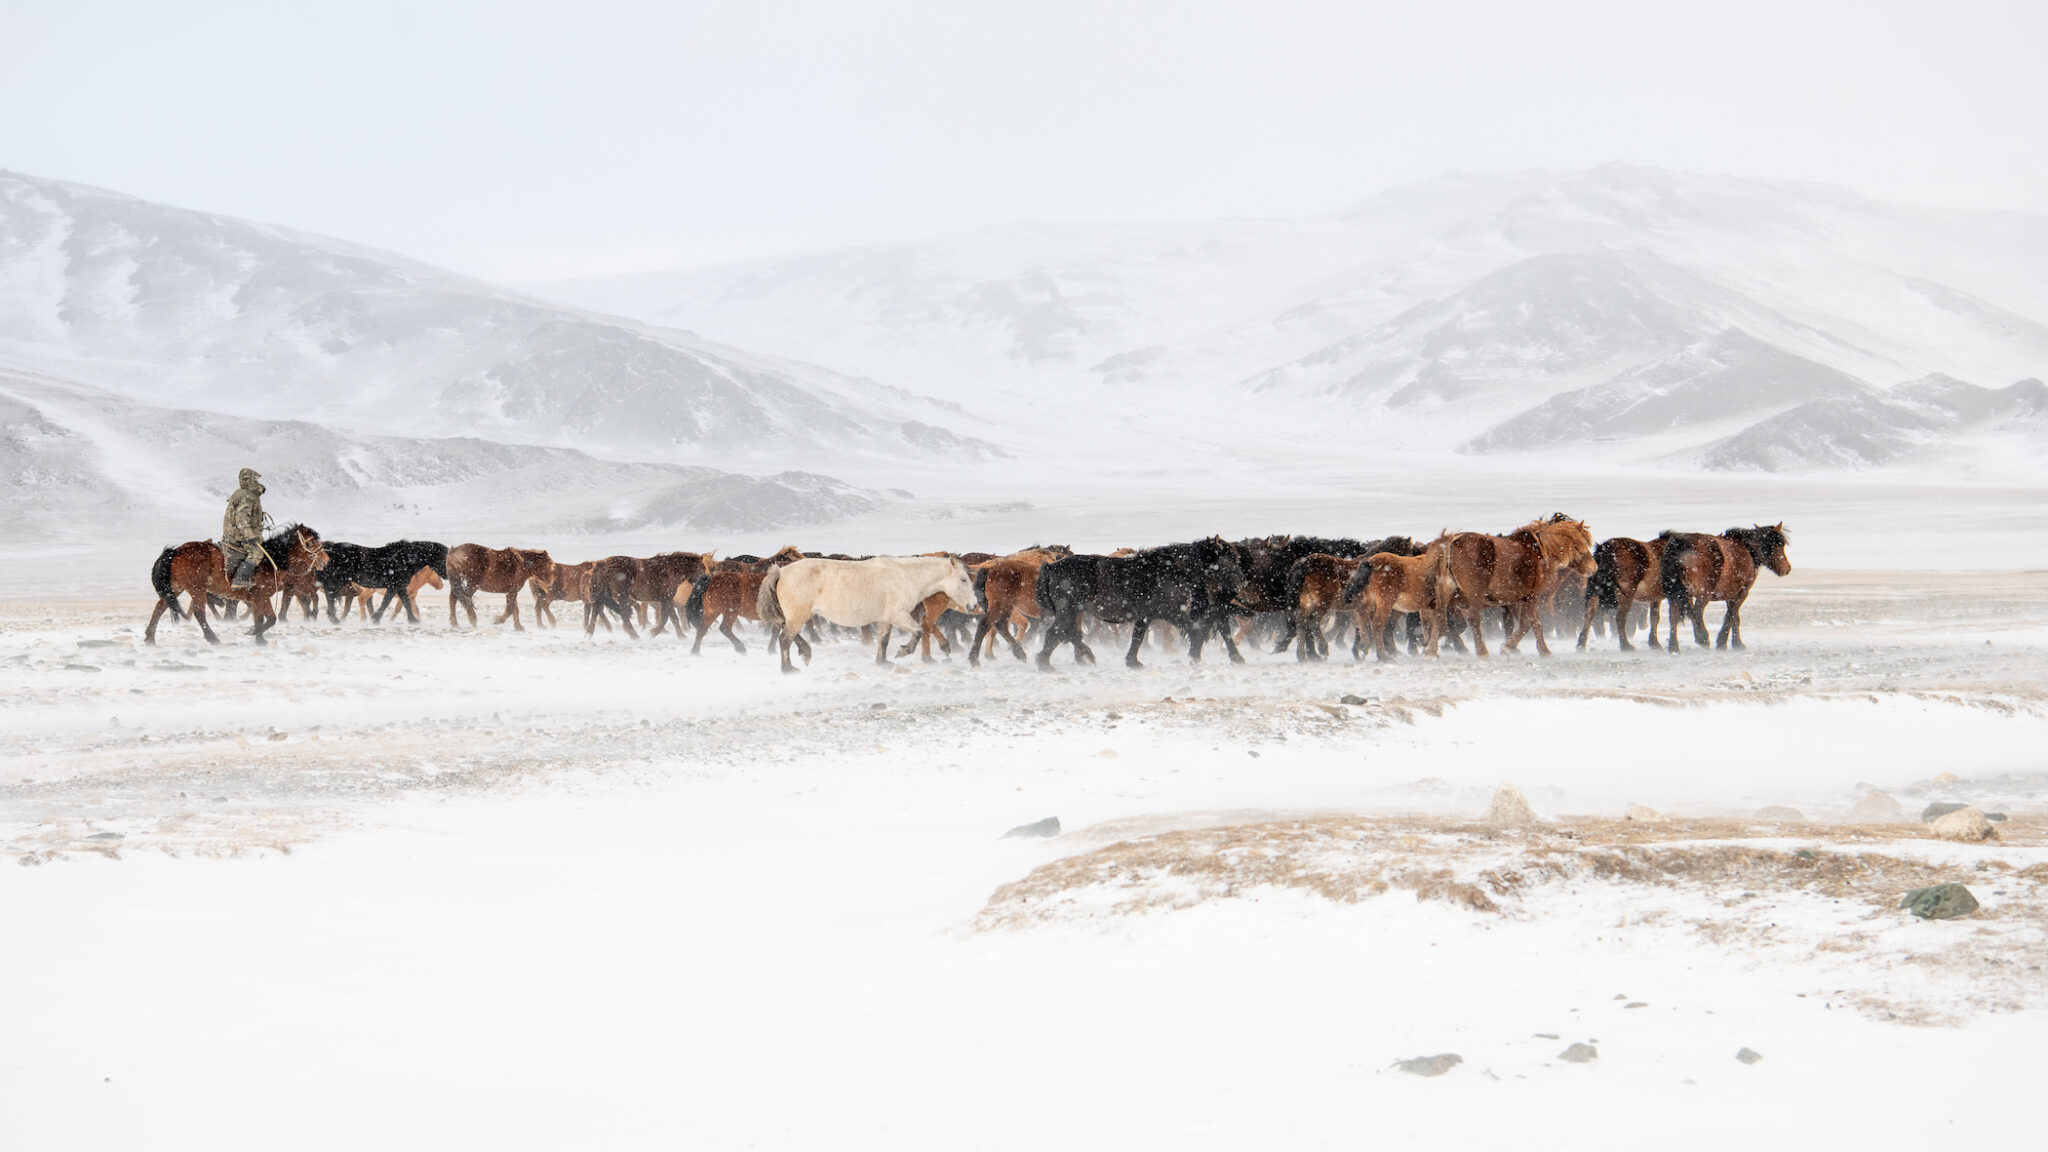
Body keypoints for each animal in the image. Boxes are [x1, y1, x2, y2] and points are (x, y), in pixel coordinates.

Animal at [145, 525, 329, 646]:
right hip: (197, 590)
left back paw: (150, 637)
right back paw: (213, 638)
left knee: (160, 607)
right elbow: (271, 618)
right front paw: (253, 632)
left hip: (176, 587)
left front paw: (259, 639)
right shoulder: (261, 595)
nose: (326, 560)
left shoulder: (256, 599)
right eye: (311, 543)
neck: (271, 560)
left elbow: (259, 617)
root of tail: (175, 552)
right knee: (198, 612)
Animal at [757, 555, 982, 673]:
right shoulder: (897, 615)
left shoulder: (884, 619)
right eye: (963, 579)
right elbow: (917, 632)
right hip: (798, 616)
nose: (973, 605)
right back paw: (788, 668)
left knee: (788, 635)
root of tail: (782, 572)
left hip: (795, 616)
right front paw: (903, 651)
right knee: (784, 639)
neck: (906, 576)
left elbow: (883, 640)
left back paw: (805, 653)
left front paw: (883, 662)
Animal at [1032, 538, 1248, 669]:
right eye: (1228, 561)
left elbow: (1138, 637)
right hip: (1068, 610)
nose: (1240, 585)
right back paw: (1046, 664)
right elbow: (1195, 628)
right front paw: (1195, 655)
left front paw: (1132, 662)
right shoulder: (1170, 611)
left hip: (1072, 611)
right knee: (1057, 633)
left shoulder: (1146, 615)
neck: (1172, 571)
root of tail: (1051, 567)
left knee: (1068, 633)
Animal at [1441, 517, 1597, 657]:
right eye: (1582, 545)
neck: (1540, 552)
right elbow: (1527, 623)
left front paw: (1541, 650)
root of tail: (1452, 546)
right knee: (1472, 619)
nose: (1593, 568)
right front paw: (1508, 647)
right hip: (1473, 596)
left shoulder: (1519, 600)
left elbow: (1533, 623)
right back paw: (1481, 651)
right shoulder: (1530, 597)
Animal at [1658, 524, 1791, 652]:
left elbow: (1735, 617)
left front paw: (1735, 643)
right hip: (1702, 594)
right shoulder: (1742, 592)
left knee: (1673, 616)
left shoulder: (1730, 594)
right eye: (1780, 545)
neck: (1748, 550)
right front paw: (1725, 642)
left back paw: (1673, 646)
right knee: (1696, 612)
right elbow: (1731, 615)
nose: (1787, 569)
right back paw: (1702, 637)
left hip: (1676, 595)